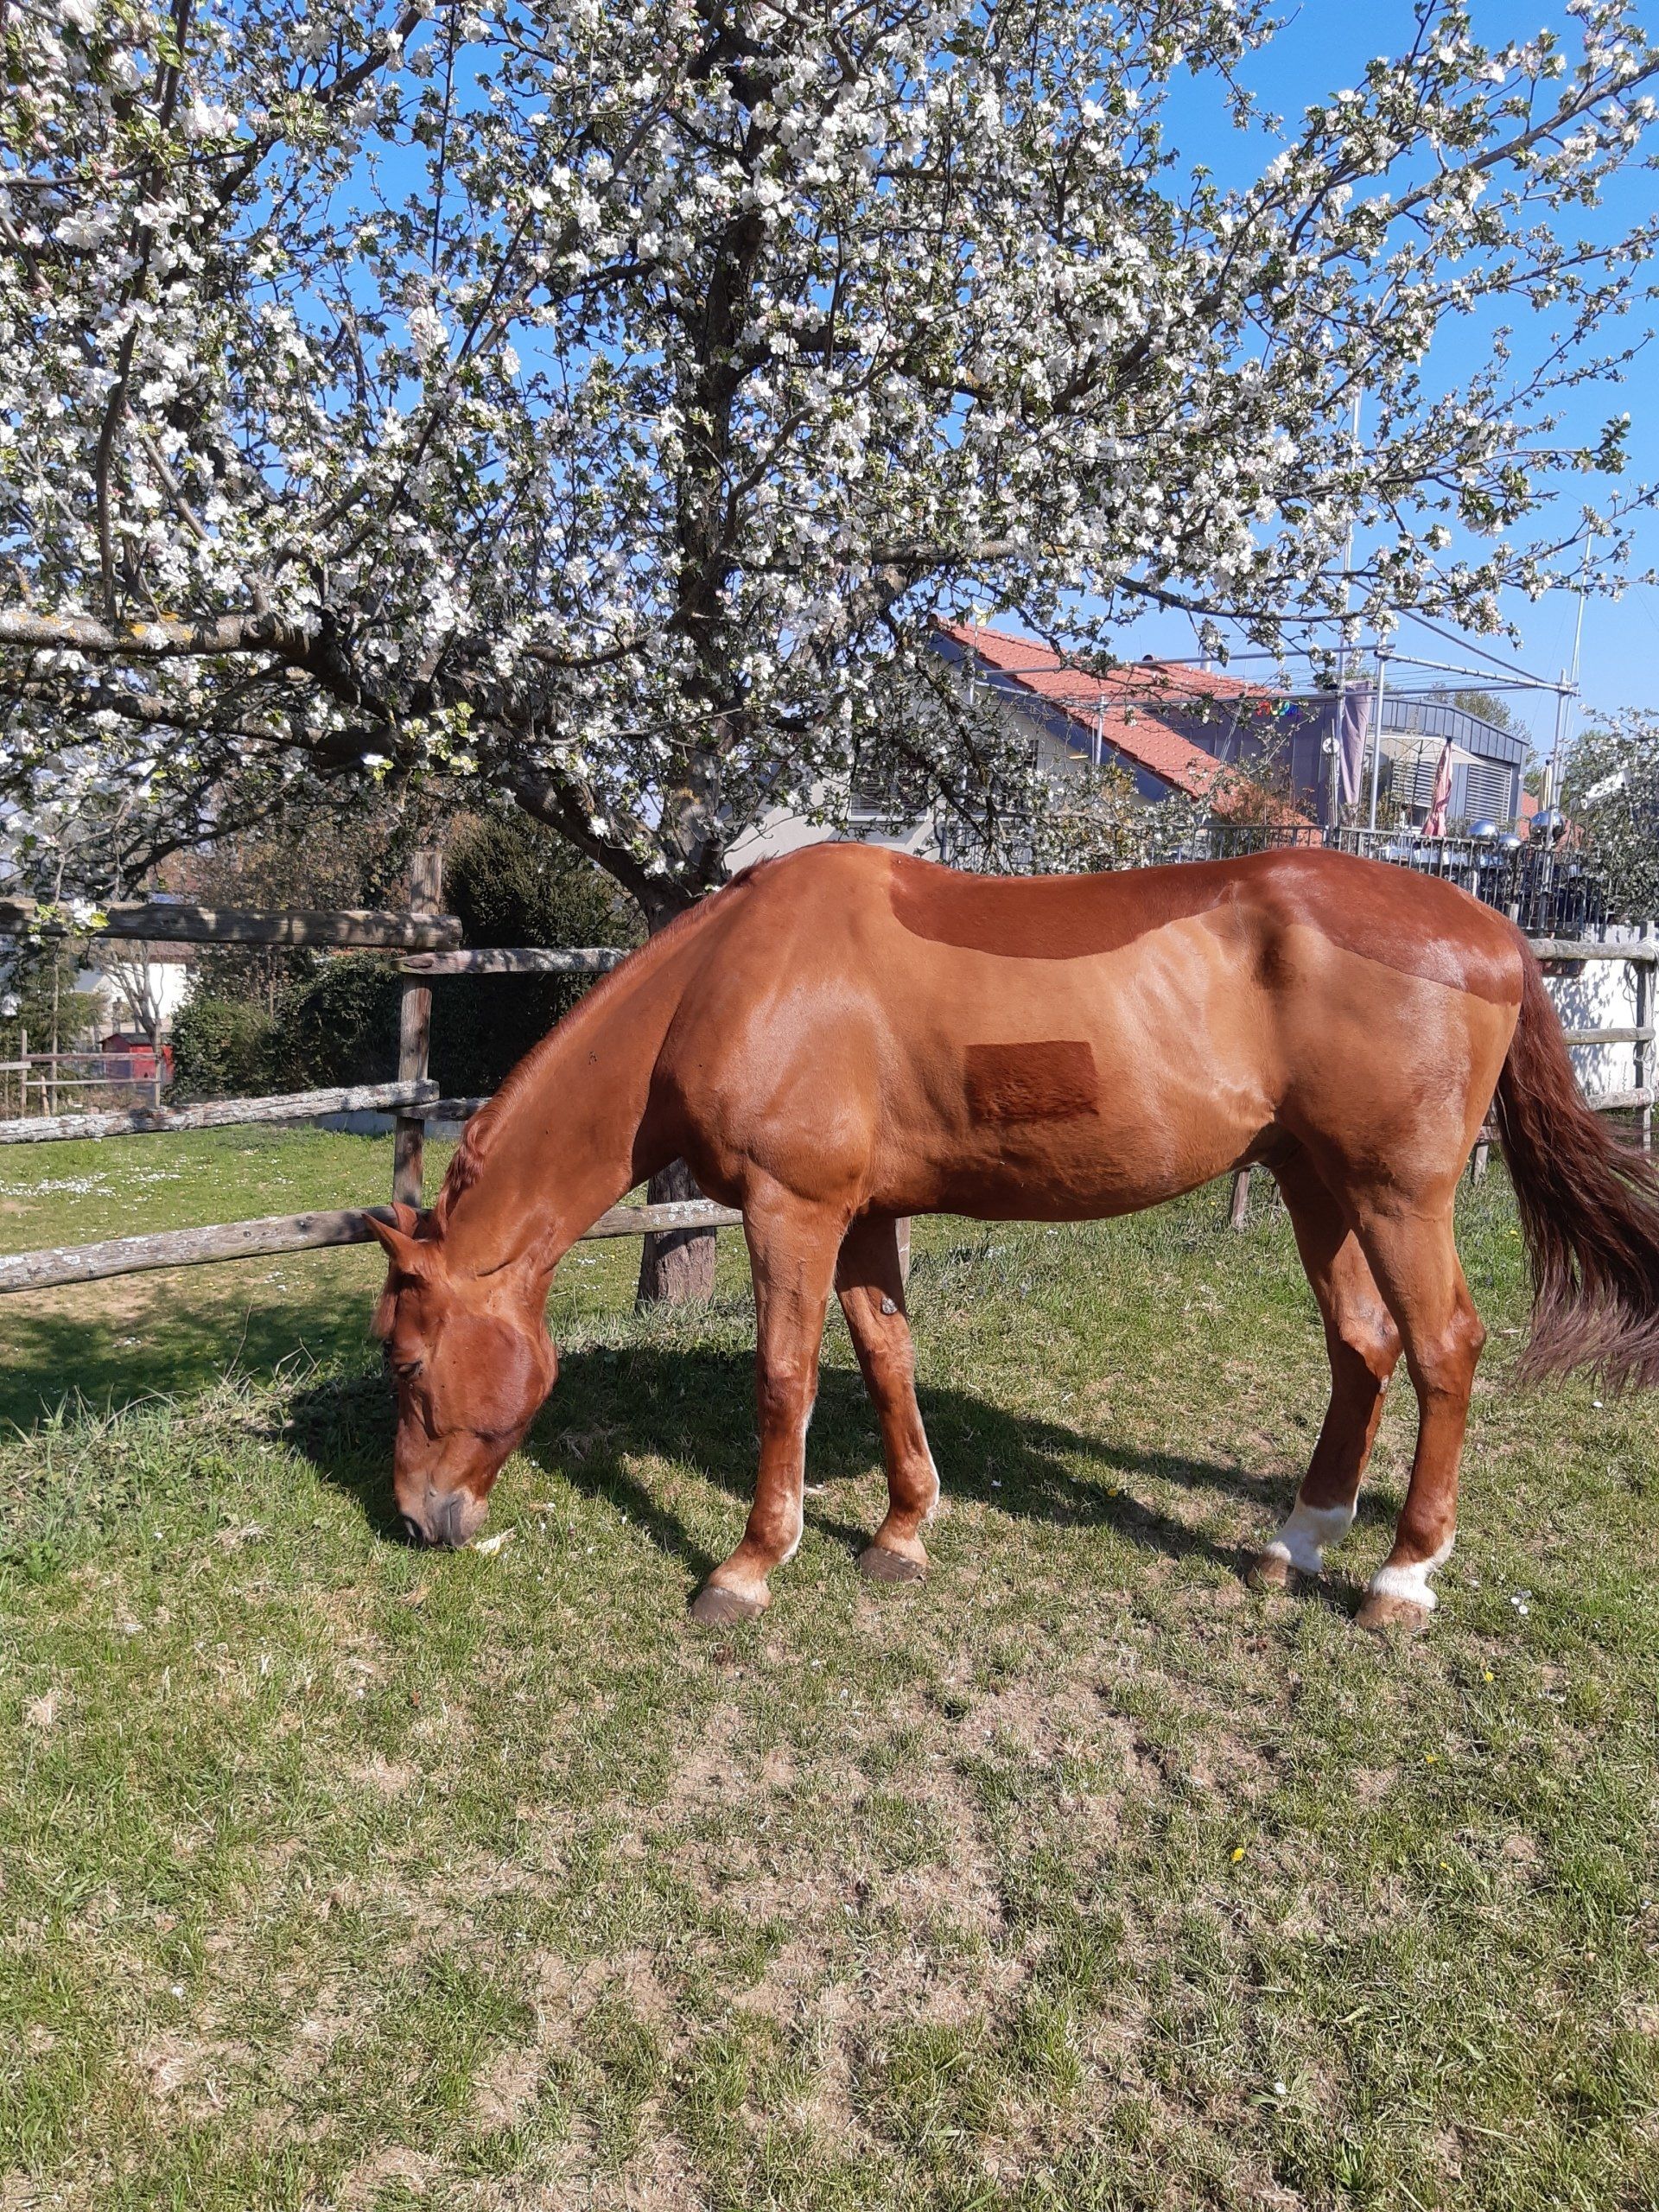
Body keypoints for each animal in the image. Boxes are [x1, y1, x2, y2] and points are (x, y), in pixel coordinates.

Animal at [368, 841, 1659, 1633]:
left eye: (409, 1362)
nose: (421, 1521)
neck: (734, 976)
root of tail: (1491, 927)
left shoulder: (795, 1210)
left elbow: (784, 1377)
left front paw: (749, 1564)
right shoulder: (864, 1217)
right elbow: (885, 1357)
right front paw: (902, 1530)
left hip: (1397, 1196)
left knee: (1443, 1350)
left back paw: (1402, 1576)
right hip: (1317, 1185)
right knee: (1363, 1348)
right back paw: (1296, 1541)